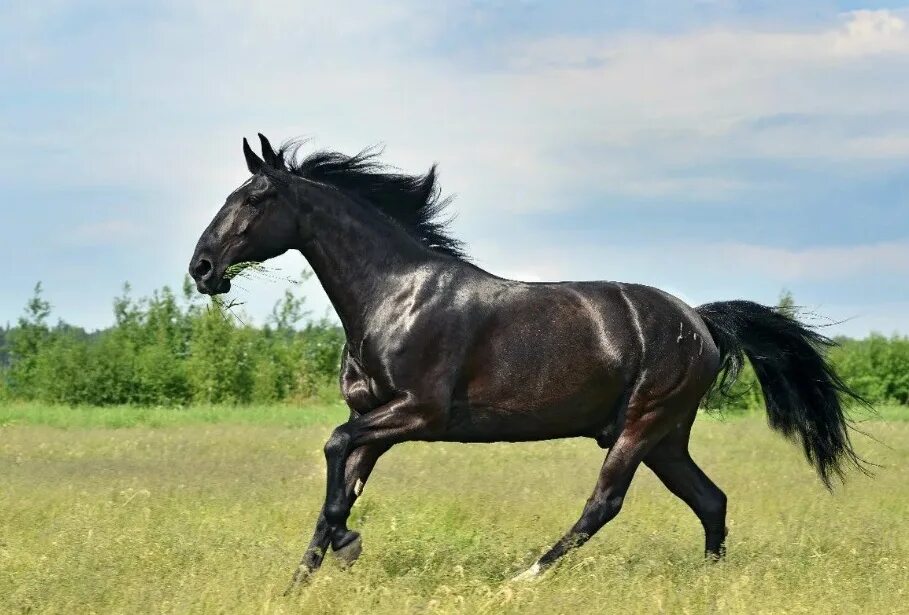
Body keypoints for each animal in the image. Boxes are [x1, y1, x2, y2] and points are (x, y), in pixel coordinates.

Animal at [188, 135, 860, 588]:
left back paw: (522, 579)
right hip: (666, 437)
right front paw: (301, 580)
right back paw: (709, 582)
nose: (202, 267)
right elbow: (341, 487)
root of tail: (699, 320)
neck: (394, 297)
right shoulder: (374, 418)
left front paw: (340, 552)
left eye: (258, 196)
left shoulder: (419, 414)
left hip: (643, 427)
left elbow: (333, 454)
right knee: (711, 501)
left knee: (604, 504)